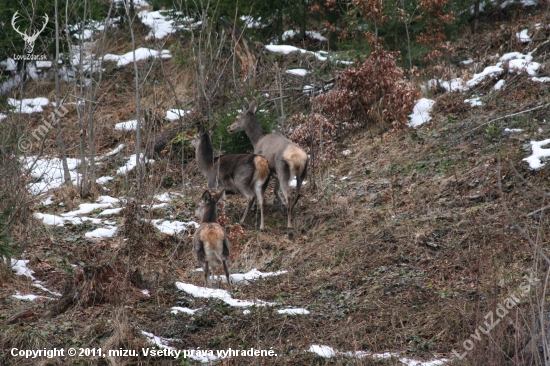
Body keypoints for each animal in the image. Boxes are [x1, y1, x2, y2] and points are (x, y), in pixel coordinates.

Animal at [226, 98, 308, 237]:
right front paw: (281, 206)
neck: (257, 139)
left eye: (237, 118)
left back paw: (289, 225)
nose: (229, 127)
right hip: (302, 173)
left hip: (283, 171)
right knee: (298, 193)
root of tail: (298, 159)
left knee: (289, 196)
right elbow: (274, 190)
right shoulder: (274, 172)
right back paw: (290, 209)